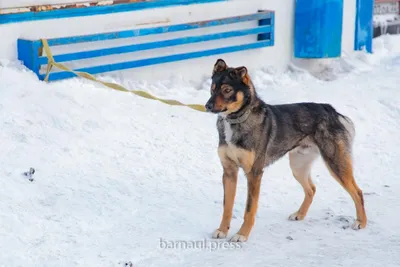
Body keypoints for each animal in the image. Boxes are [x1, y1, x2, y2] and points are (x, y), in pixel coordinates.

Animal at [205, 58, 368, 243]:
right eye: (212, 88)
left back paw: (361, 222)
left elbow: (249, 209)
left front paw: (242, 234)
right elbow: (227, 207)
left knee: (358, 192)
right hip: (298, 166)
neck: (236, 121)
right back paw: (300, 214)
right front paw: (222, 230)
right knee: (311, 189)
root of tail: (331, 110)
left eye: (227, 90)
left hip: (336, 163)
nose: (207, 106)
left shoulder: (254, 173)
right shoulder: (229, 172)